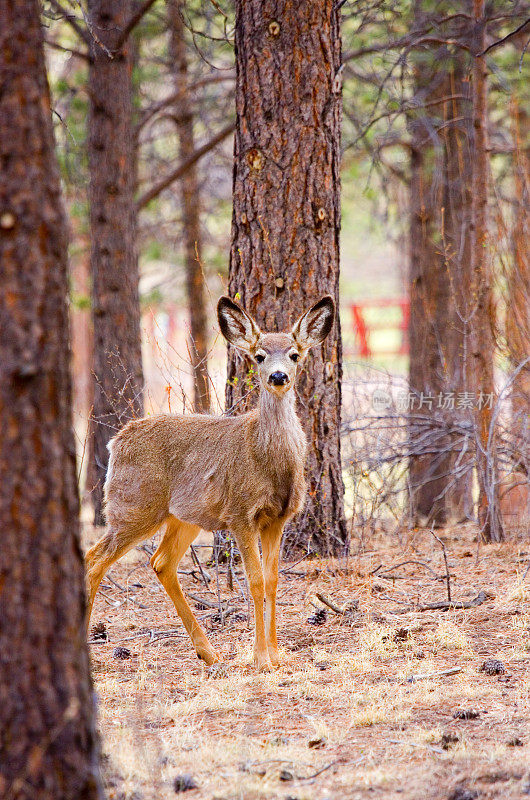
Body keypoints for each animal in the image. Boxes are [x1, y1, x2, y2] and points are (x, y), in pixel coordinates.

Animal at [86, 292, 334, 668]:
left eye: (294, 354)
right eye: (259, 355)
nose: (278, 376)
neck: (269, 460)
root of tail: (117, 441)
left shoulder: (278, 518)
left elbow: (273, 580)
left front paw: (278, 655)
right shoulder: (240, 513)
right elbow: (255, 581)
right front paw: (261, 659)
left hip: (183, 517)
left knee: (160, 562)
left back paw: (208, 652)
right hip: (133, 507)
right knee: (94, 559)